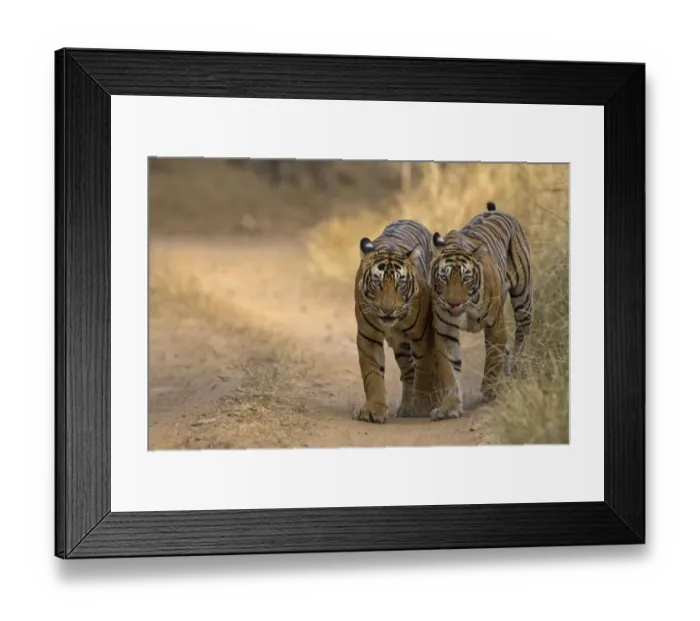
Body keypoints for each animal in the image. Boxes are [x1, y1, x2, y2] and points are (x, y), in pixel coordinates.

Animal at [353, 219, 438, 424]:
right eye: (377, 283)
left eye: (400, 283)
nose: (388, 310)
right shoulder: (368, 337)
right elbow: (372, 374)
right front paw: (373, 411)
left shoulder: (423, 334)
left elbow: (425, 368)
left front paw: (423, 407)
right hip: (400, 345)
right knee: (408, 371)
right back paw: (407, 407)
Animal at [429, 201, 533, 420]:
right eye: (444, 277)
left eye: (466, 278)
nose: (454, 304)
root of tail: (497, 210)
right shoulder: (445, 331)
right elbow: (449, 370)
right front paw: (449, 407)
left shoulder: (495, 325)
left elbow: (492, 360)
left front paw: (490, 390)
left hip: (523, 297)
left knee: (523, 333)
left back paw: (517, 367)